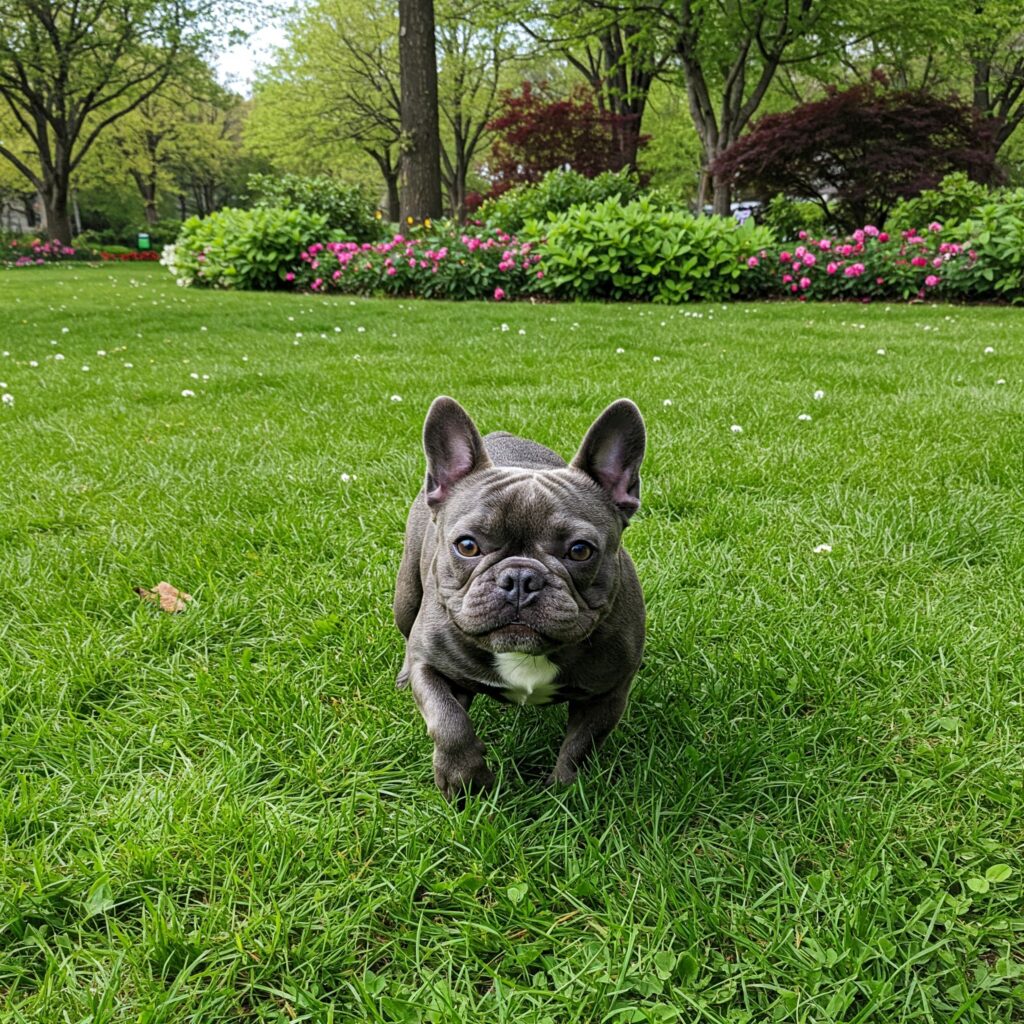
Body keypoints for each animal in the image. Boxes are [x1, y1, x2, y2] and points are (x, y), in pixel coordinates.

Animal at [395, 395, 643, 794]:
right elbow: (449, 722)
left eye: (580, 551)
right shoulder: (430, 665)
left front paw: (563, 792)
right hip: (405, 596)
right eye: (467, 546)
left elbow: (580, 745)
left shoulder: (608, 694)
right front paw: (465, 780)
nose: (520, 578)